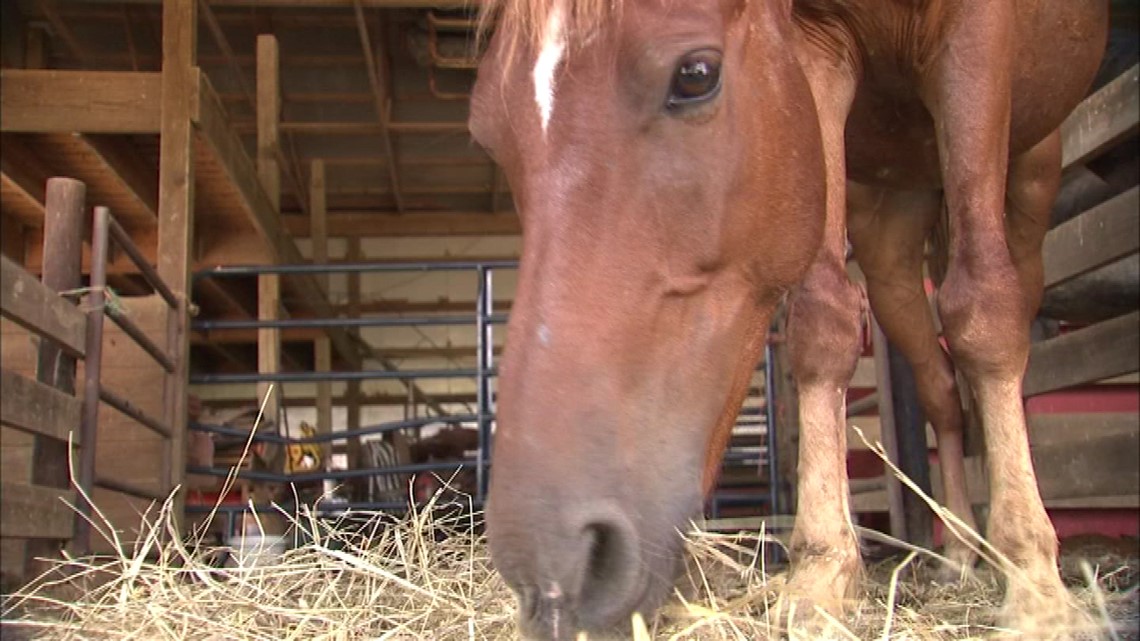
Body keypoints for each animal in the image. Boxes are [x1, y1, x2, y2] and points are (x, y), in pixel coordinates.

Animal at [467, 1, 1108, 638]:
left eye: (695, 75)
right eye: (487, 133)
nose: (555, 569)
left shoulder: (975, 34)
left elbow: (986, 307)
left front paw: (1036, 587)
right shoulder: (815, 50)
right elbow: (823, 320)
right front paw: (821, 575)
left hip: (1028, 175)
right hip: (890, 243)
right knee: (941, 393)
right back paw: (956, 553)